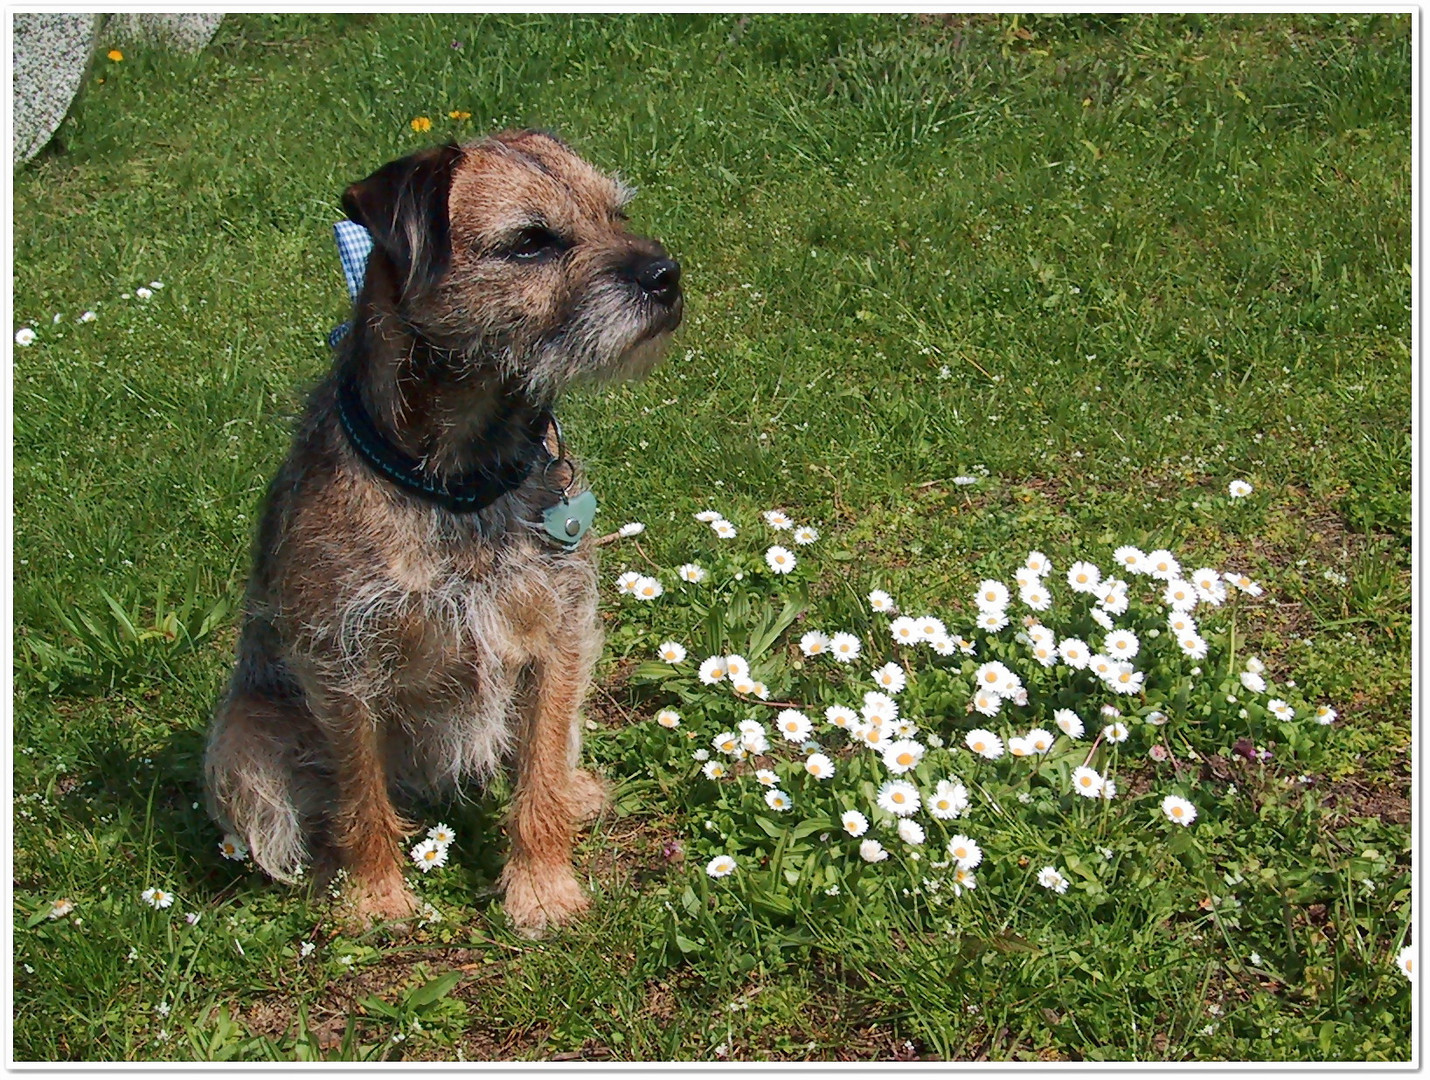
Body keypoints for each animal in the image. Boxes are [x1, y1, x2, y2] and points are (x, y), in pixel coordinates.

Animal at [200, 130, 680, 932]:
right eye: (531, 242)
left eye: (615, 214)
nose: (667, 275)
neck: (464, 475)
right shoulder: (341, 666)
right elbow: (360, 793)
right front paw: (374, 899)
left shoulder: (559, 635)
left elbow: (538, 769)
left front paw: (541, 888)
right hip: (243, 737)